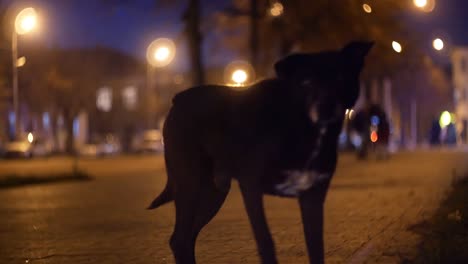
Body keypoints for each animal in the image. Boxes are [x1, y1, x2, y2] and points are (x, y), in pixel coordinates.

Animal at [148, 41, 372, 264]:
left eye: (340, 77)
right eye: (307, 82)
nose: (326, 108)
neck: (300, 126)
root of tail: (179, 97)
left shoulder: (313, 197)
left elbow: (316, 248)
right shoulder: (251, 187)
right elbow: (266, 242)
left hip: (212, 193)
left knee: (183, 240)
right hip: (191, 186)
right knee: (181, 239)